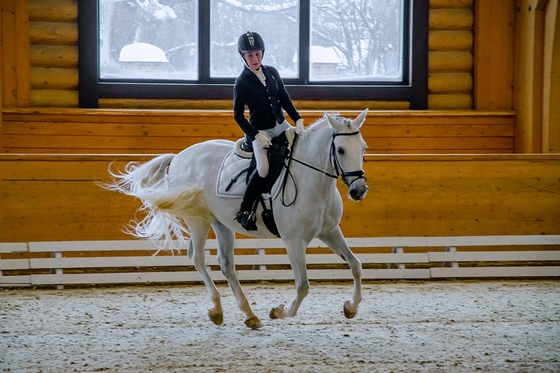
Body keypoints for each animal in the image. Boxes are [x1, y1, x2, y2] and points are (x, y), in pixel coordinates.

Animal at [107, 108, 370, 328]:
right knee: (198, 257)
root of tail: (180, 156)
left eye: (363, 148)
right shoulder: (294, 242)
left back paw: (249, 315)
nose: (359, 190)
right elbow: (303, 286)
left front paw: (350, 307)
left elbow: (356, 265)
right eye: (340, 150)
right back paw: (217, 308)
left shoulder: (329, 231)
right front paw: (279, 311)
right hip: (197, 219)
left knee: (226, 264)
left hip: (221, 223)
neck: (312, 180)